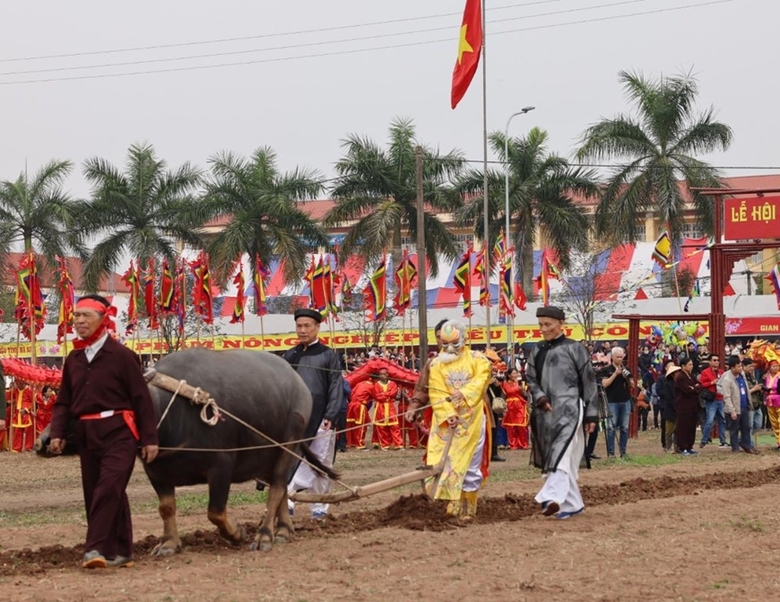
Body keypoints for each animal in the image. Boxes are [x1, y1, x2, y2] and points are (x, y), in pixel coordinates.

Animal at [38, 346, 336, 552]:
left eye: (81, 405)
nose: (43, 441)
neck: (166, 412)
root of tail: (298, 384)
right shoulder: (156, 470)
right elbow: (166, 508)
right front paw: (169, 544)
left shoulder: (221, 465)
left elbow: (215, 511)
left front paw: (236, 533)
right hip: (269, 455)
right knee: (281, 487)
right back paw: (283, 531)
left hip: (289, 445)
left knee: (275, 489)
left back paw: (263, 536)